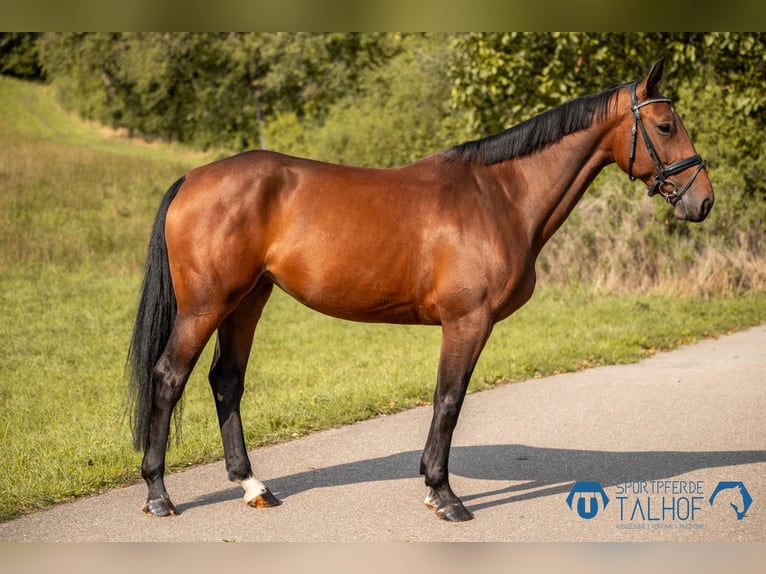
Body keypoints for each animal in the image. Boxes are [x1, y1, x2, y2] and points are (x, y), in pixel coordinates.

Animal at [130, 57, 712, 520]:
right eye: (665, 125)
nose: (701, 200)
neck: (500, 195)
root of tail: (192, 179)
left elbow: (444, 400)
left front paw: (436, 489)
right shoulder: (467, 321)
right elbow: (449, 400)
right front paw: (445, 495)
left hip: (247, 300)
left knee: (226, 381)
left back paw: (253, 486)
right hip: (206, 305)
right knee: (168, 376)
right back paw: (159, 494)